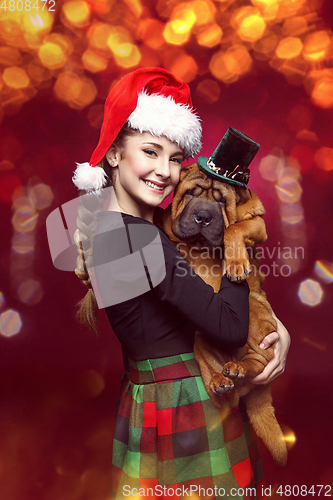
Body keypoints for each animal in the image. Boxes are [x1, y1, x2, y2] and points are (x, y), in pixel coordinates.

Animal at [153, 146, 286, 466]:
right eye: (190, 194)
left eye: (221, 201)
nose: (202, 216)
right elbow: (162, 220)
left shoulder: (256, 222)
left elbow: (234, 229)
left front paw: (236, 264)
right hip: (202, 338)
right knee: (221, 382)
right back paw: (219, 381)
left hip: (252, 312)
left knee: (259, 360)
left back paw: (239, 368)